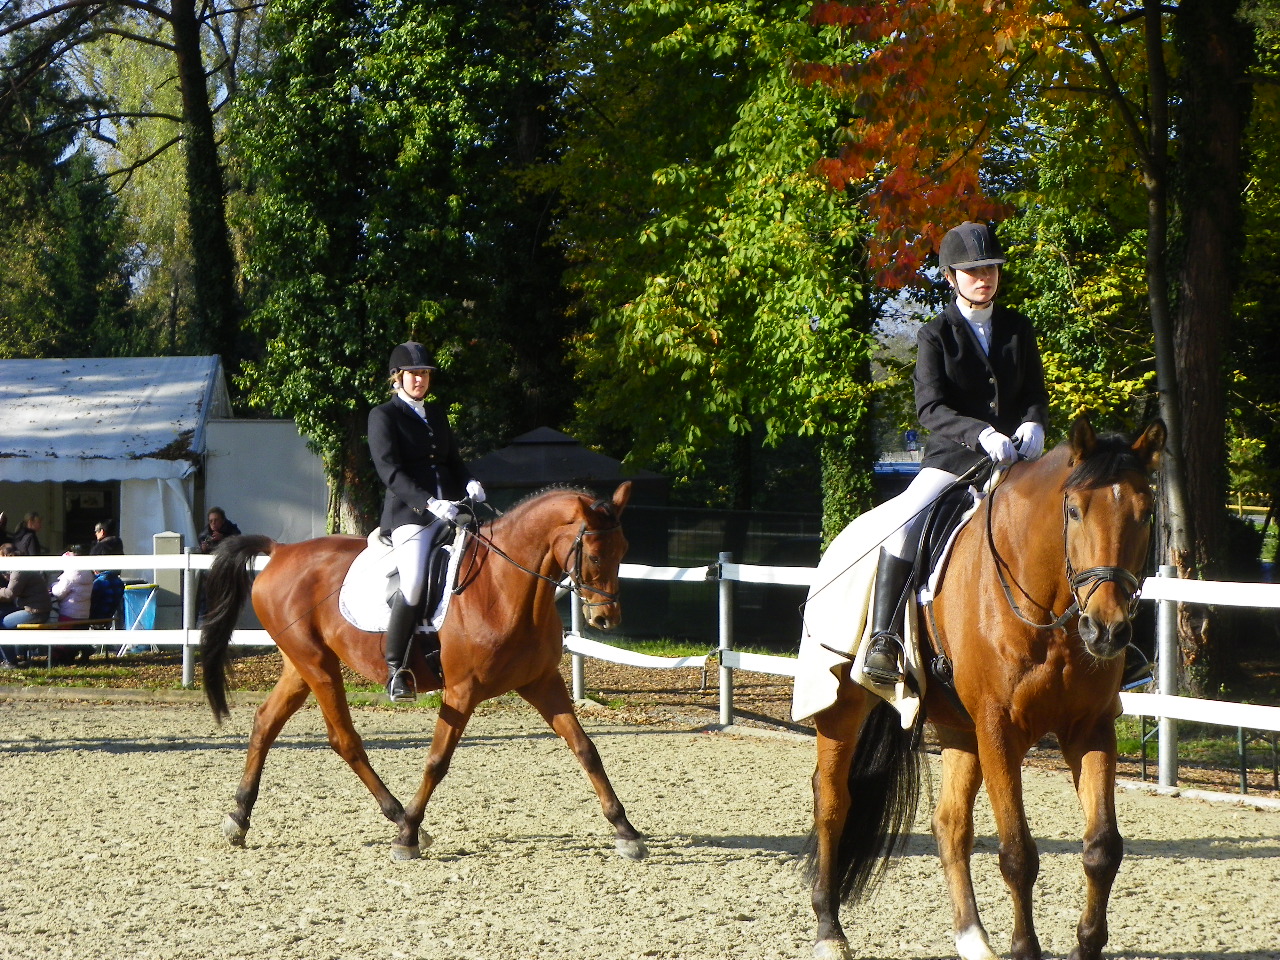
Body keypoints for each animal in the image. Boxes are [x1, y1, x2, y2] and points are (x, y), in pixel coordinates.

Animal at [199, 481, 648, 863]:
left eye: (624, 548)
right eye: (594, 555)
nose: (606, 618)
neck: (503, 588)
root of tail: (280, 551)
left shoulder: (542, 683)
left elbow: (586, 749)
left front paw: (626, 831)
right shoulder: (462, 691)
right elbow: (437, 760)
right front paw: (408, 835)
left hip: (301, 665)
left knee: (265, 721)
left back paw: (238, 818)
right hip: (318, 666)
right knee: (344, 740)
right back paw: (398, 817)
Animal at [805, 417, 1166, 960]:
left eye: (1145, 515)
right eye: (1075, 511)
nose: (1106, 630)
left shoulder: (1090, 728)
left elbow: (1102, 847)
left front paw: (1087, 944)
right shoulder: (999, 727)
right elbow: (1017, 853)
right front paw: (1025, 948)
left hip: (960, 728)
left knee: (949, 823)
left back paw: (973, 938)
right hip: (843, 702)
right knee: (832, 800)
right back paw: (830, 931)